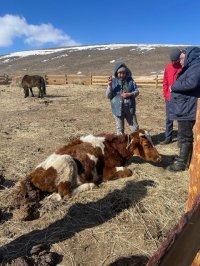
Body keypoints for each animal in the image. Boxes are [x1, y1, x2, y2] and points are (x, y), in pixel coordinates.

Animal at [17, 129, 161, 204]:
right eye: (146, 144)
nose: (159, 158)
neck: (113, 147)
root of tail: (31, 175)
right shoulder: (107, 172)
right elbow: (128, 171)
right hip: (67, 161)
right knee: (64, 193)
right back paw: (90, 185)